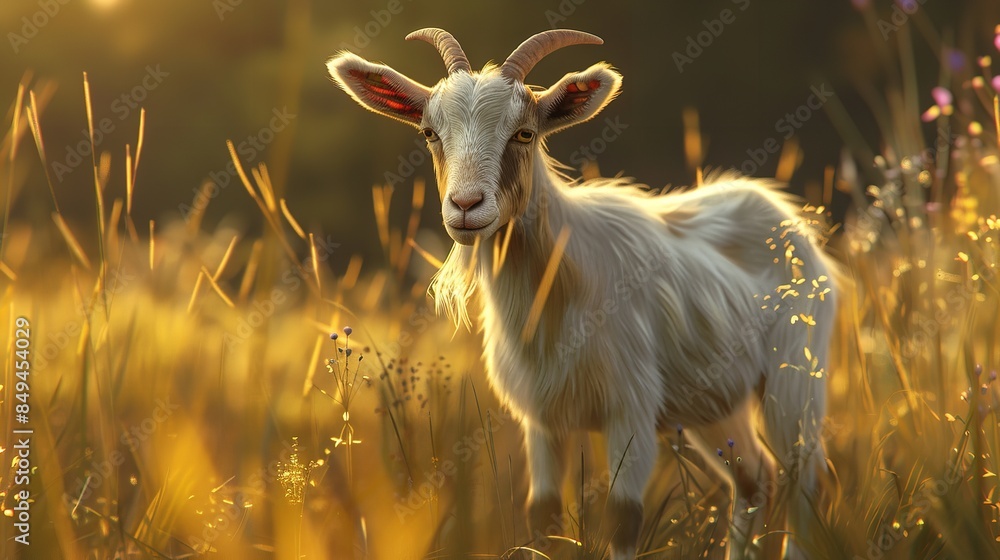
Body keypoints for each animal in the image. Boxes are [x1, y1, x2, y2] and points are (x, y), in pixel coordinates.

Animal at [327, 28, 837, 559]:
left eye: (525, 133)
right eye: (429, 133)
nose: (466, 206)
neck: (556, 295)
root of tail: (782, 214)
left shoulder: (630, 410)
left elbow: (623, 518)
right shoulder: (542, 420)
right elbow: (543, 517)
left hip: (796, 377)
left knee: (807, 480)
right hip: (716, 401)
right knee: (755, 478)